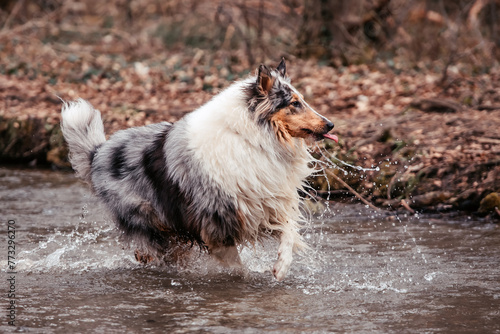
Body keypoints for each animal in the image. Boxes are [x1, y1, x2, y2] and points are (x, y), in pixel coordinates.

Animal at [60, 58, 338, 280]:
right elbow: (236, 267)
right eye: (294, 103)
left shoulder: (267, 203)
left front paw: (281, 268)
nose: (330, 124)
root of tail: (99, 151)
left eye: (302, 100)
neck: (252, 138)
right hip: (152, 228)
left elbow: (289, 232)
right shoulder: (218, 221)